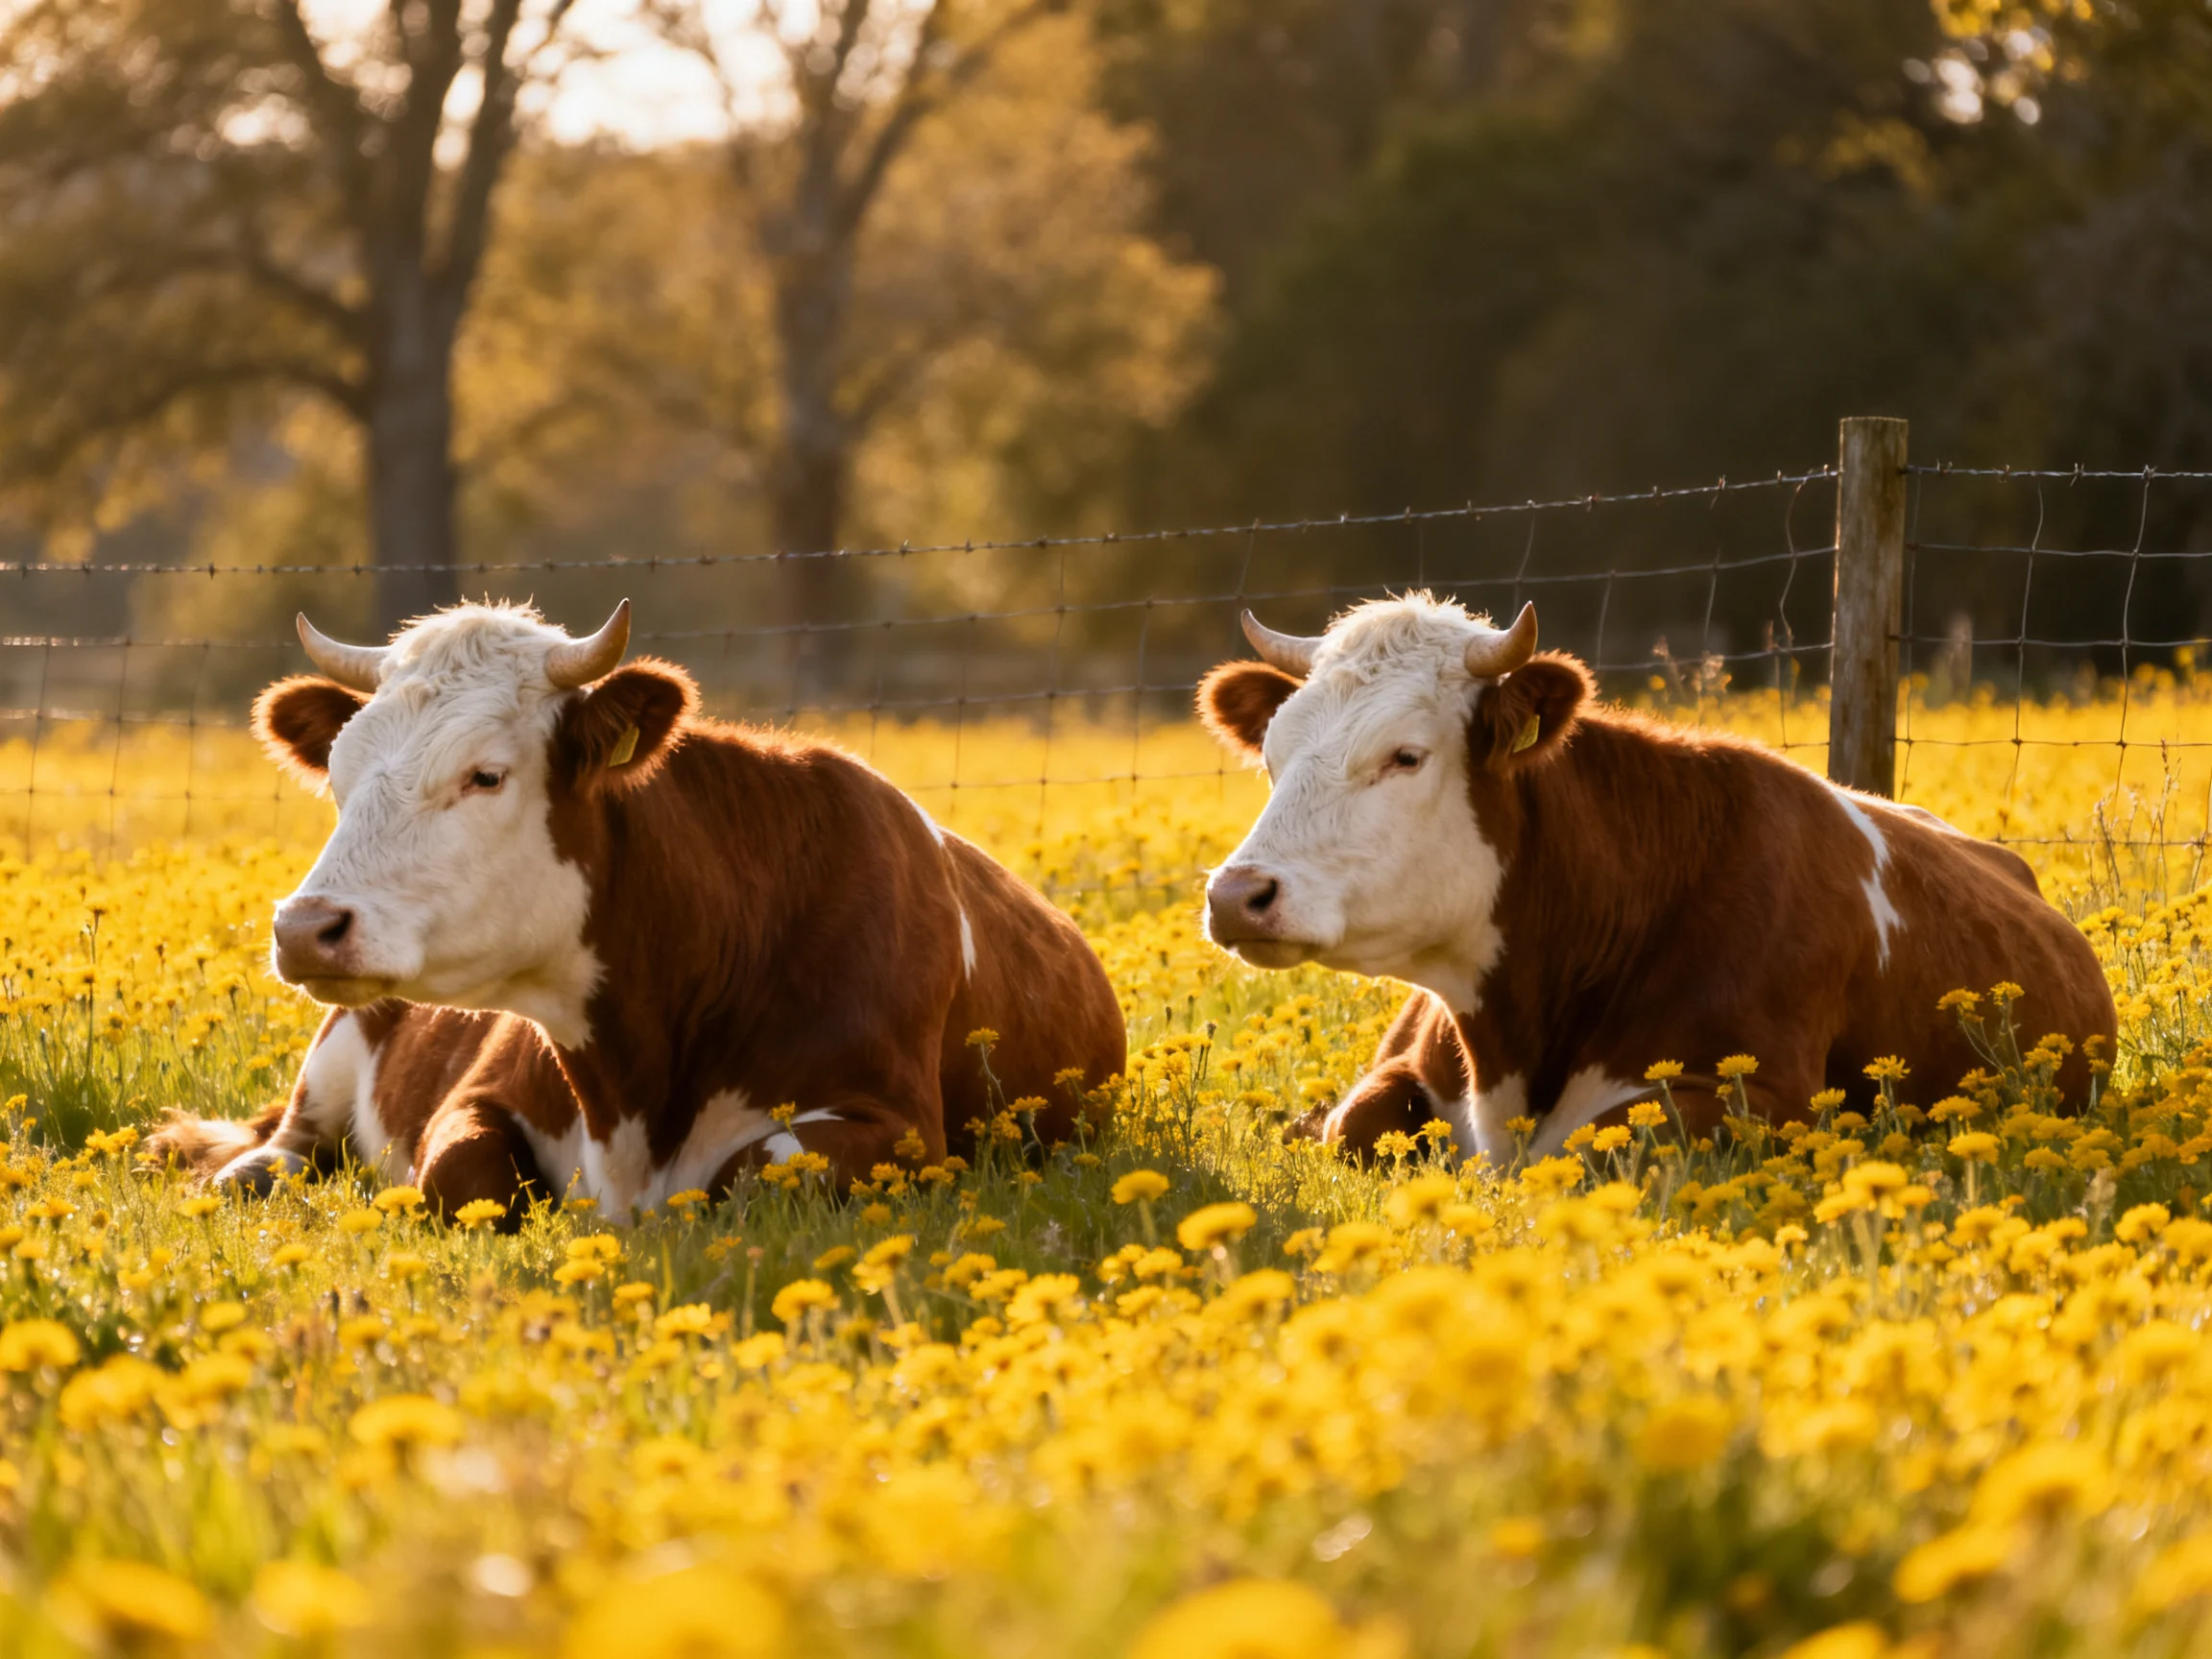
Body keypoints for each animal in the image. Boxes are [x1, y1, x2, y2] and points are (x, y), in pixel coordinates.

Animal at [169, 600, 1124, 1218]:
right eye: (337, 773)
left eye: (487, 774)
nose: (306, 928)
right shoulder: (477, 1095)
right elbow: (458, 1176)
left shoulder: (901, 1127)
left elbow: (758, 1172)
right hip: (332, 1054)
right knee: (285, 1146)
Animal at [1197, 593, 2116, 1163]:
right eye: (1273, 754)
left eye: (1406, 756)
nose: (1237, 895)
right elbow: (1355, 1125)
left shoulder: (1762, 1096)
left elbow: (1601, 1151)